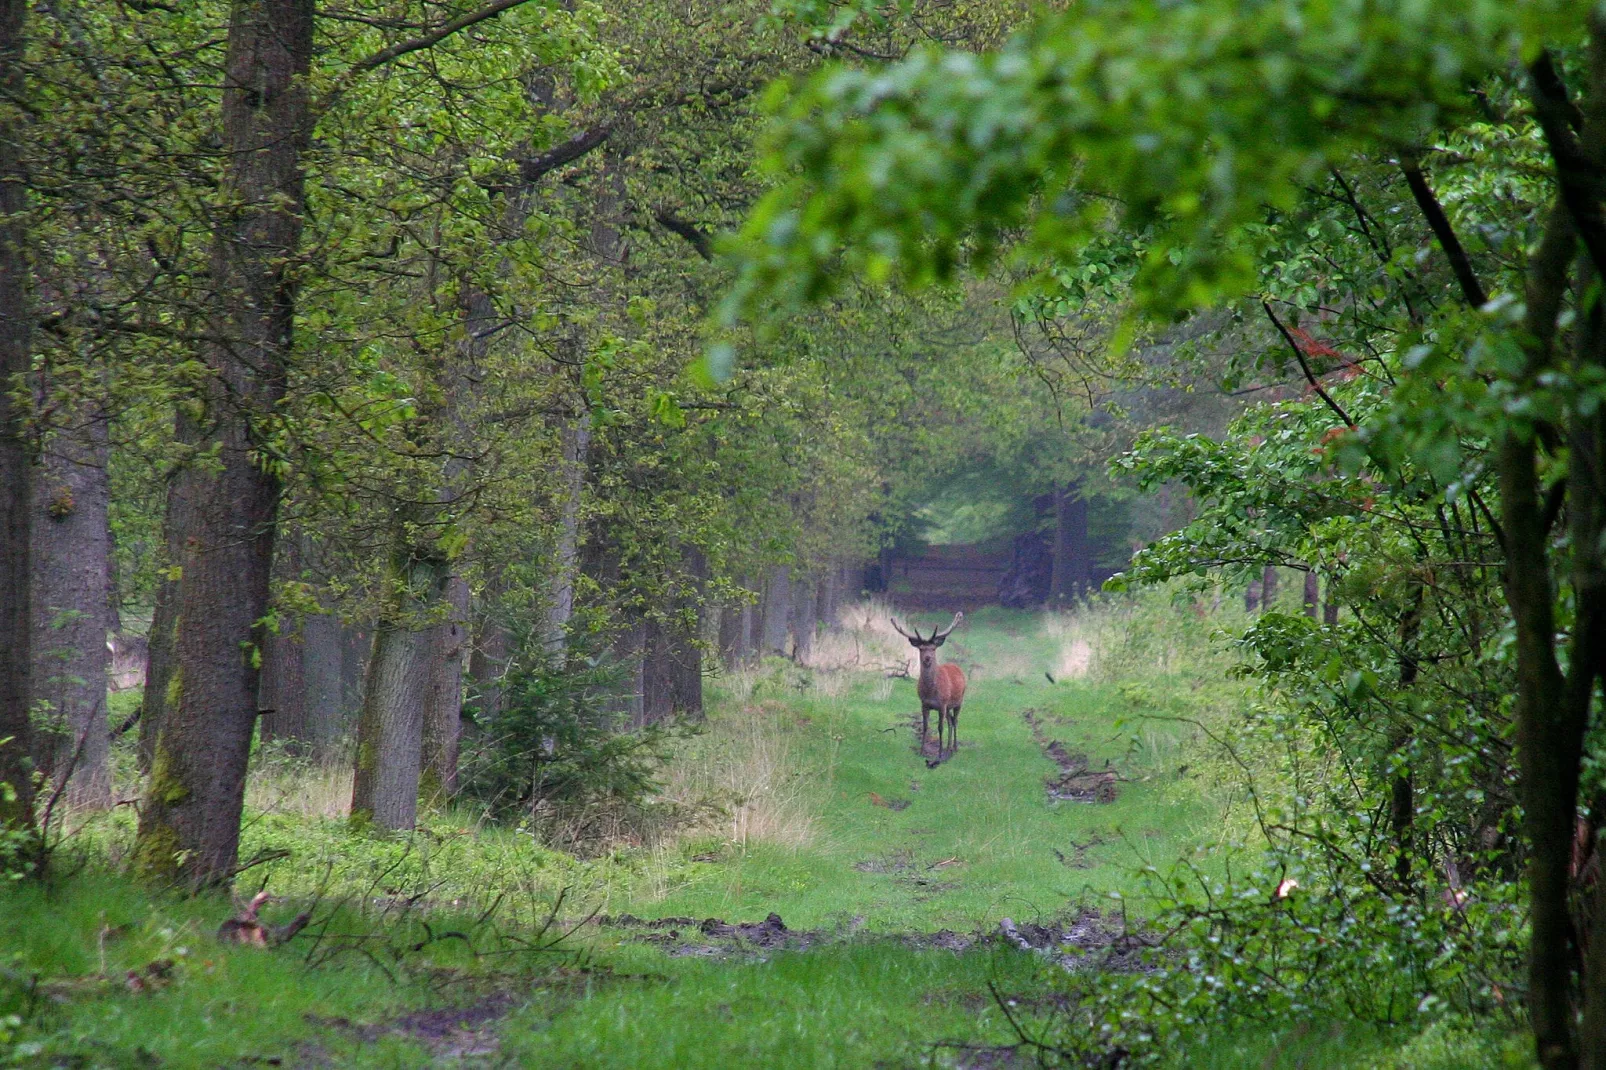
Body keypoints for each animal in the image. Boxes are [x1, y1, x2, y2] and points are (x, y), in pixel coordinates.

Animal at [892, 607, 963, 767]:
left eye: (933, 648)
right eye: (921, 648)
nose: (927, 658)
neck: (931, 691)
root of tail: (956, 667)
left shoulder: (942, 704)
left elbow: (940, 727)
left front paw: (939, 754)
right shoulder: (924, 703)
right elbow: (925, 726)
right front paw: (921, 751)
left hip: (959, 701)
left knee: (955, 721)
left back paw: (954, 748)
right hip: (949, 706)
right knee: (950, 721)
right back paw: (949, 748)